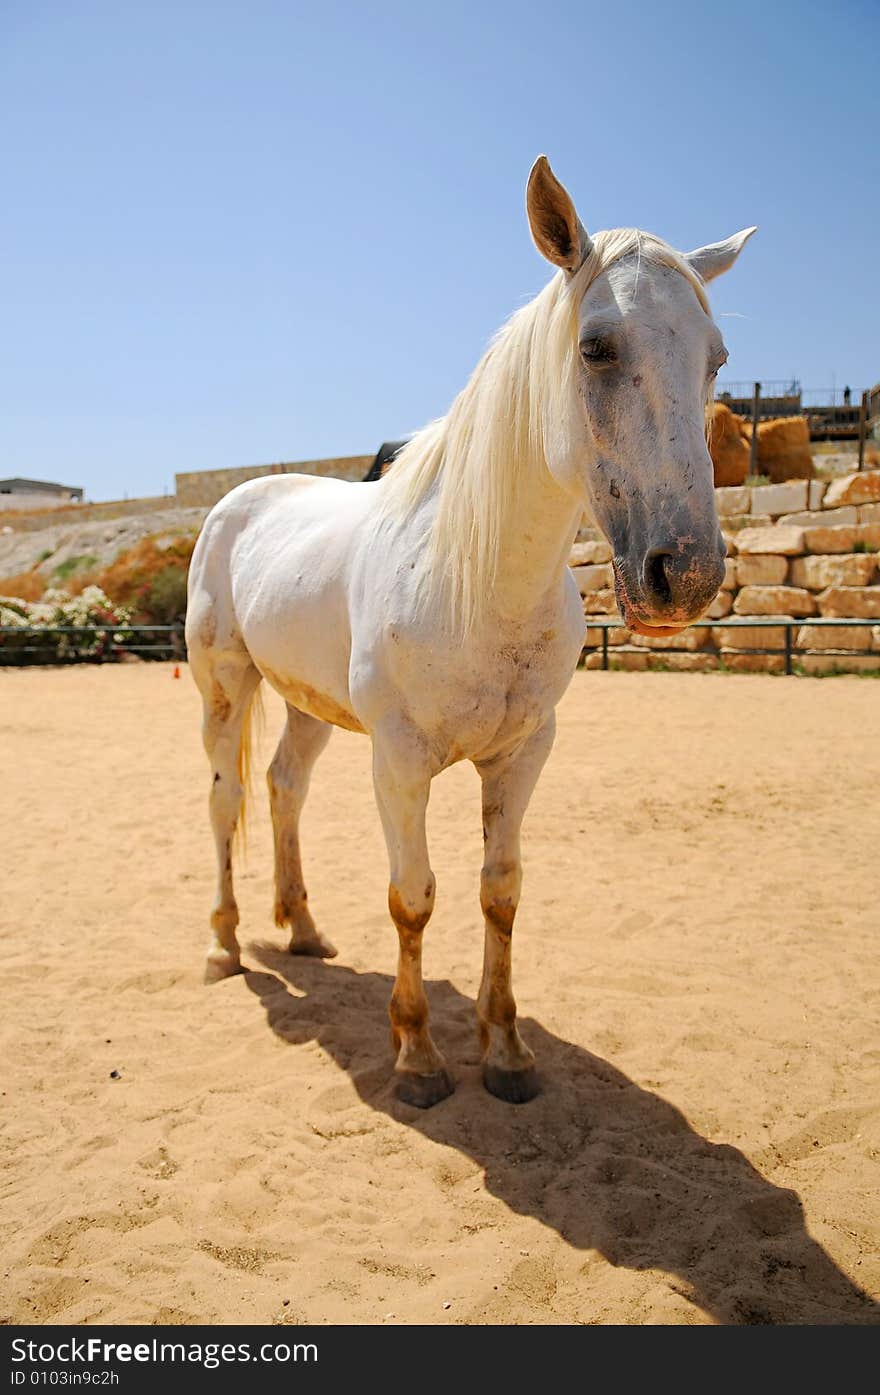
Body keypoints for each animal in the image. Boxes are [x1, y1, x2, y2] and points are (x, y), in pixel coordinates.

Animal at [188, 155, 758, 1110]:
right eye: (596, 346)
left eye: (716, 358)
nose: (684, 574)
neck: (474, 582)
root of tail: (241, 498)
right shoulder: (400, 762)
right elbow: (412, 898)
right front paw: (418, 1058)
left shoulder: (522, 755)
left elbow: (501, 894)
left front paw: (507, 1051)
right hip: (225, 690)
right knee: (226, 799)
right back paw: (225, 945)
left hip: (307, 705)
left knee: (283, 790)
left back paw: (302, 930)